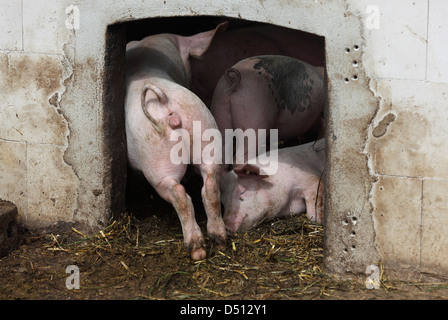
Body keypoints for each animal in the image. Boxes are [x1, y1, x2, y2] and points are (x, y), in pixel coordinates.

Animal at [125, 22, 228, 260]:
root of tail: (165, 103)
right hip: (206, 131)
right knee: (210, 185)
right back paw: (219, 241)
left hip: (157, 161)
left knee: (180, 195)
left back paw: (197, 250)